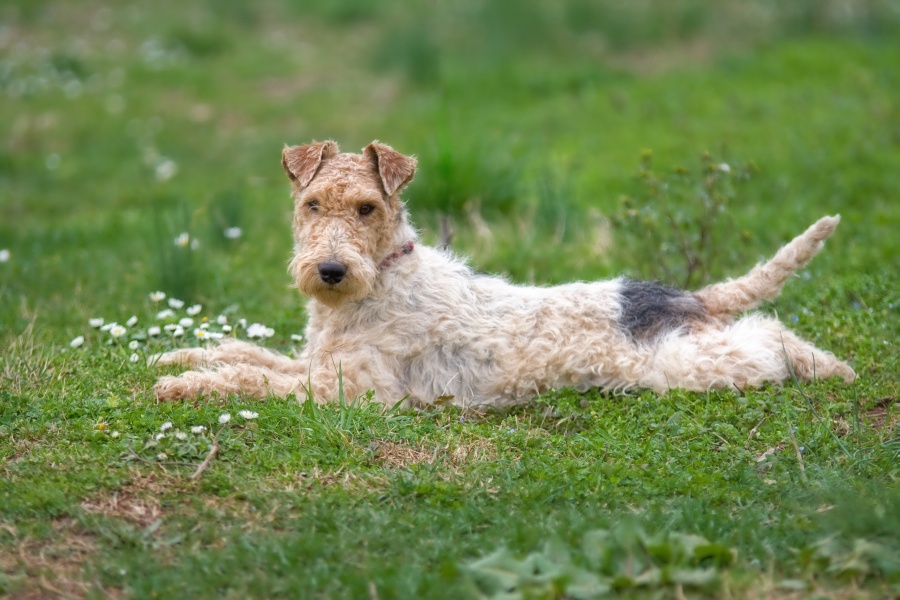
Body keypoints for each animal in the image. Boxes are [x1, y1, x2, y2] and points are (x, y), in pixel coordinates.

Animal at [153, 139, 852, 408]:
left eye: (368, 206)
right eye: (313, 204)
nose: (329, 271)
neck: (381, 278)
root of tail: (686, 297)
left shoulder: (348, 390)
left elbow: (252, 378)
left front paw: (182, 386)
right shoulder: (317, 363)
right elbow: (250, 353)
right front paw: (176, 357)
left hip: (683, 362)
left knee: (769, 337)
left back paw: (832, 368)